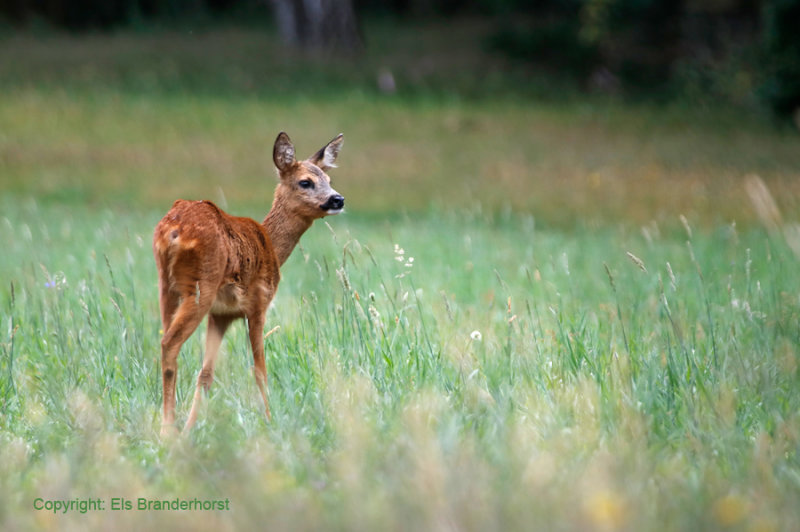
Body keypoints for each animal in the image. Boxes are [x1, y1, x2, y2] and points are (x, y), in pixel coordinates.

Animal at [153, 130, 344, 436]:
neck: (272, 246)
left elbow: (206, 374)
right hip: (200, 288)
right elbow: (260, 370)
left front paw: (191, 431)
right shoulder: (258, 303)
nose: (338, 199)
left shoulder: (221, 315)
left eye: (329, 179)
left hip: (166, 287)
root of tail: (173, 230)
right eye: (305, 181)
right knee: (169, 344)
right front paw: (270, 422)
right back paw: (167, 430)